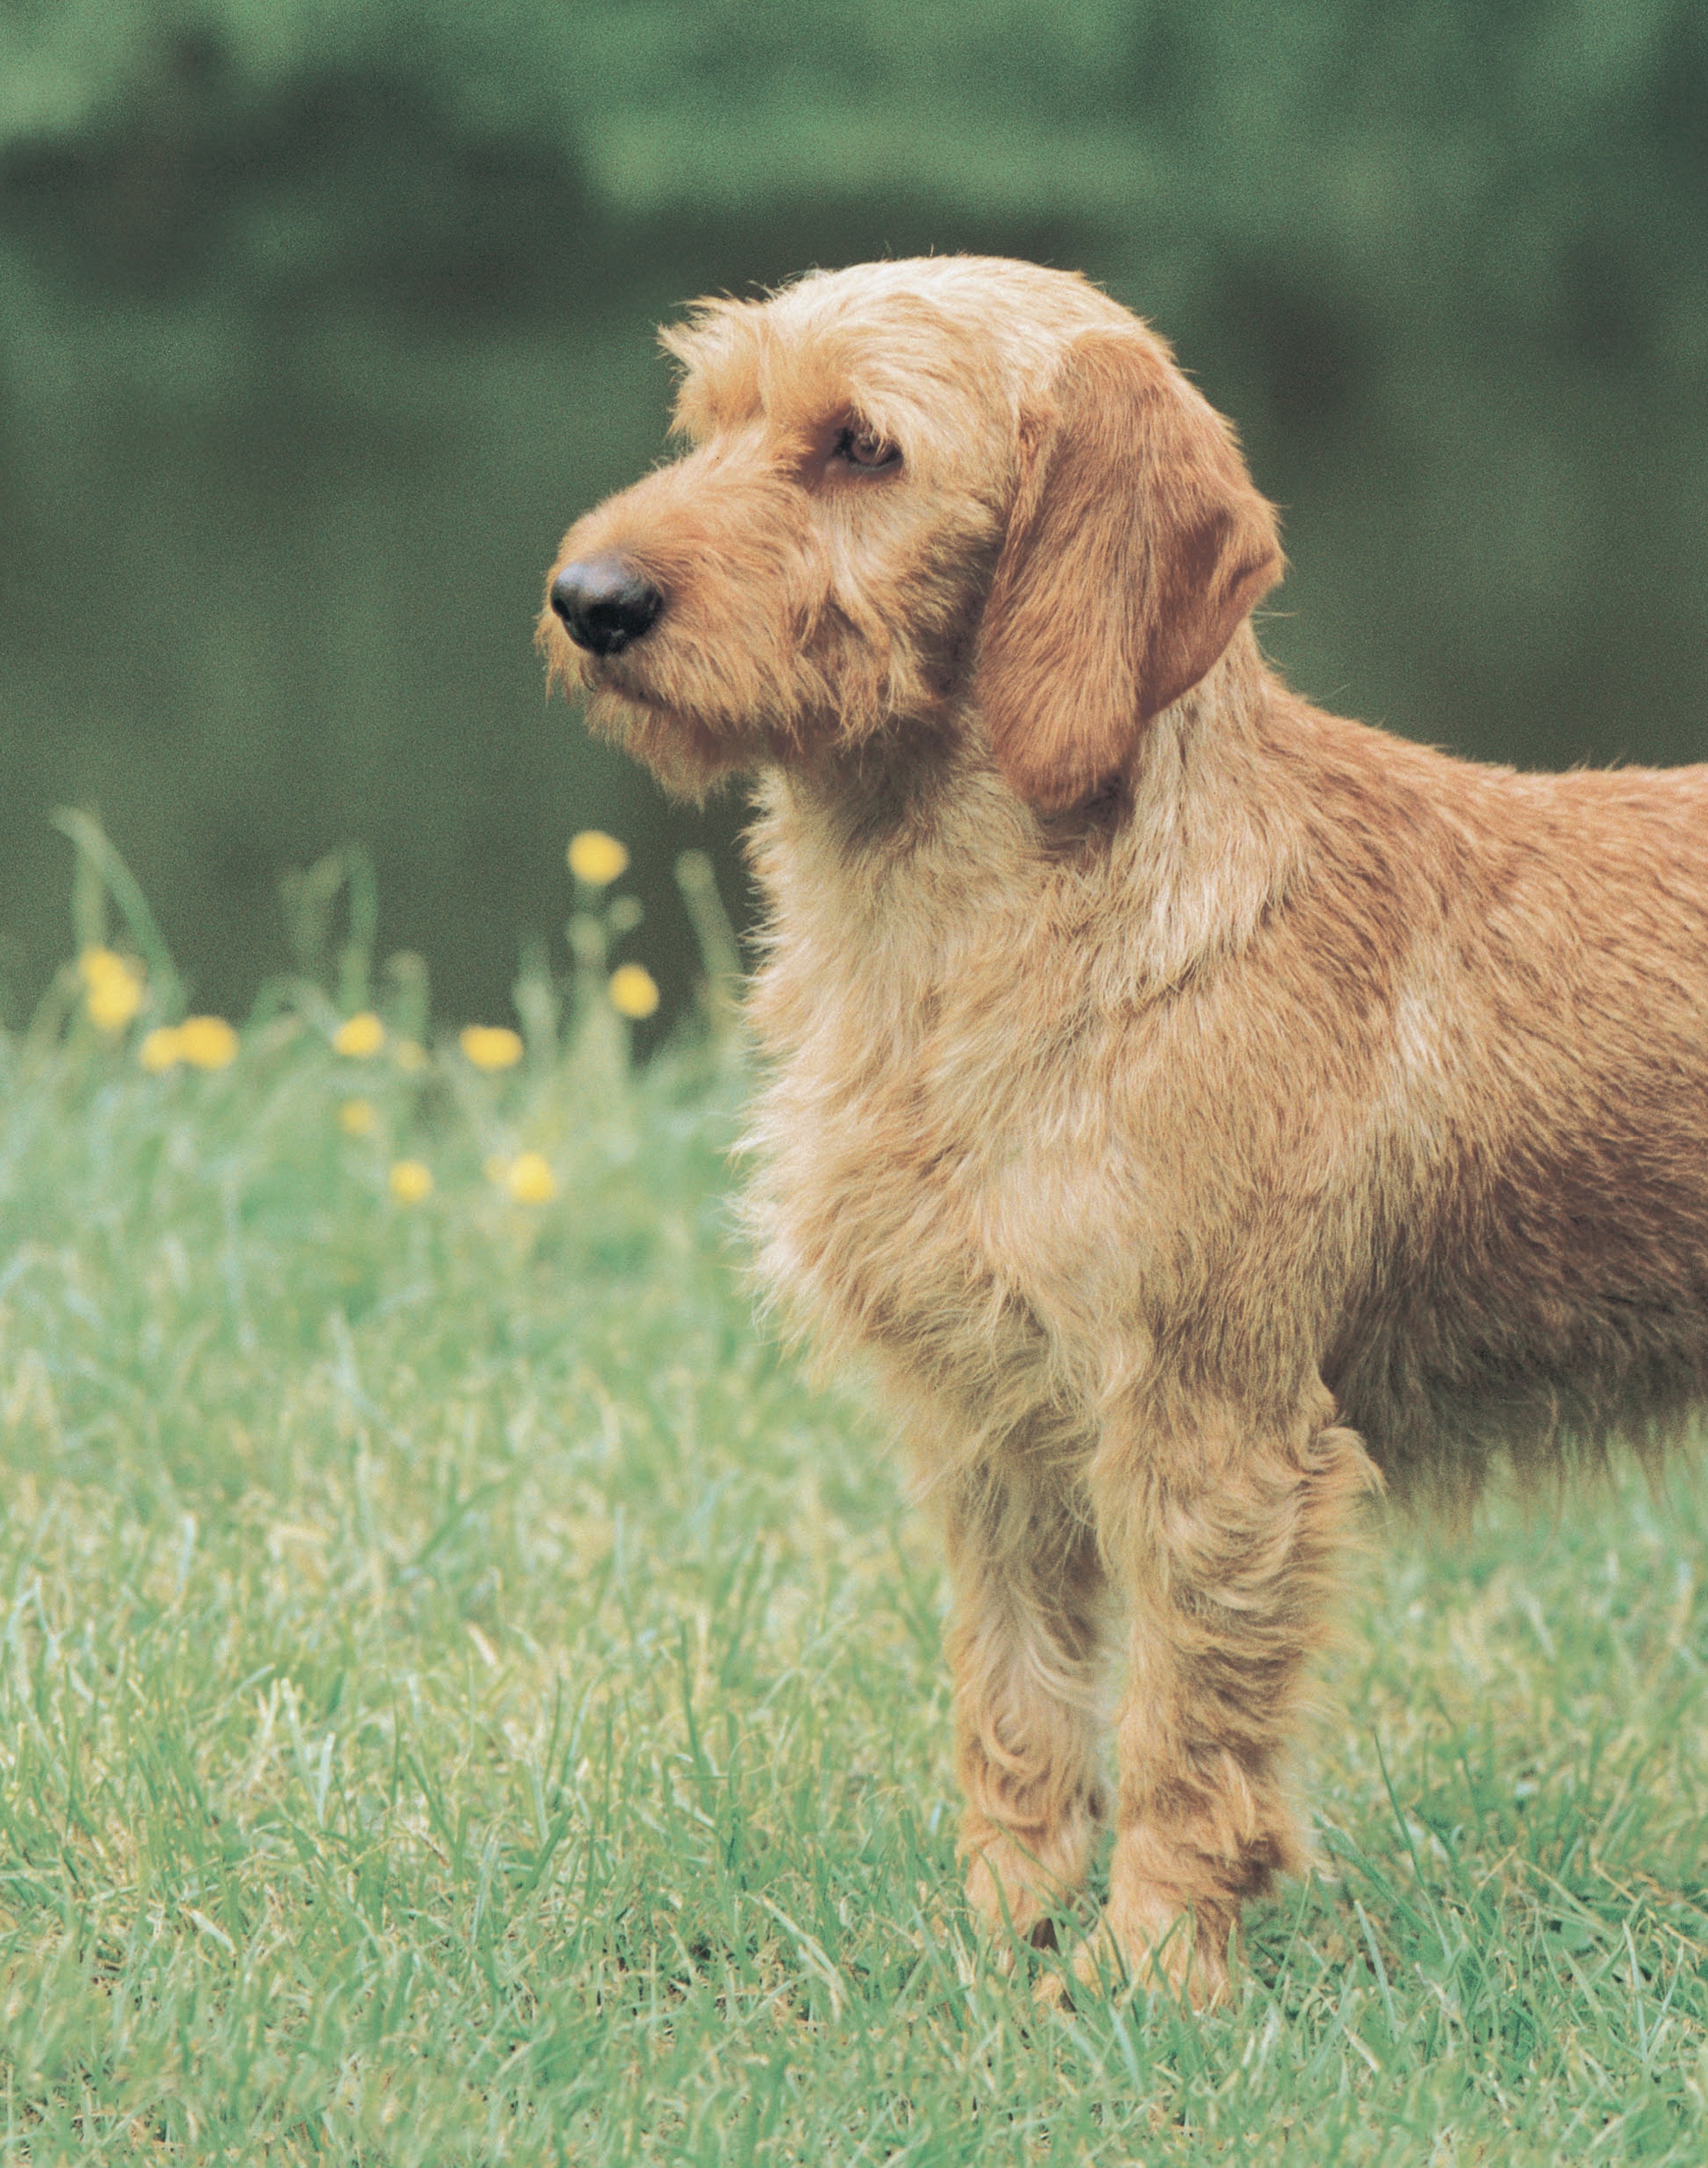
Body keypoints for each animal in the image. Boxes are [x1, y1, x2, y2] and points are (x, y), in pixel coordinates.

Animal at [540, 262, 1708, 2003]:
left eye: (861, 445)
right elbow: (1016, 1710)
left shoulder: (1210, 1434)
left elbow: (1180, 1736)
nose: (587, 596)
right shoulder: (990, 1433)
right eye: (712, 421)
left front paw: (1150, 1978)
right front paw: (998, 1938)